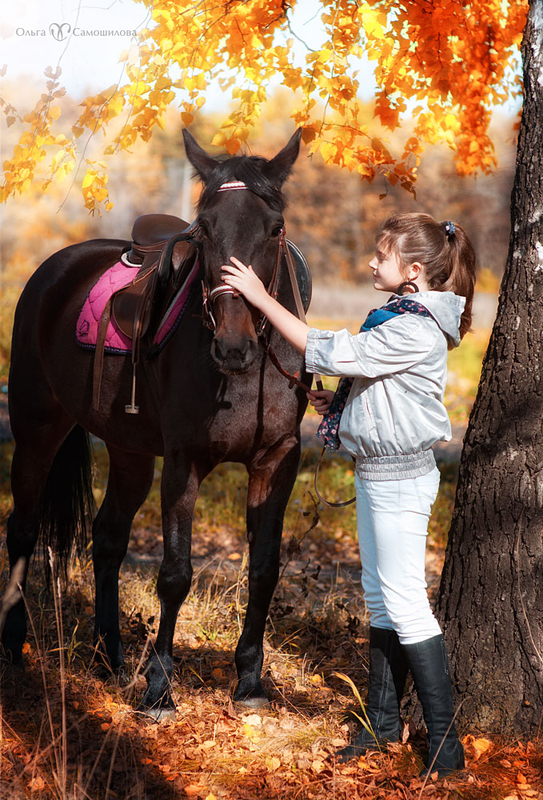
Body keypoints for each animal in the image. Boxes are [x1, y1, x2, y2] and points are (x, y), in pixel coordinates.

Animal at [2, 128, 313, 715]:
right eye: (204, 228)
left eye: (276, 228)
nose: (233, 345)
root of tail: (54, 270)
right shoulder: (183, 461)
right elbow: (175, 573)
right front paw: (161, 687)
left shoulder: (277, 460)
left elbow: (264, 568)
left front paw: (250, 682)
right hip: (37, 429)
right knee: (23, 530)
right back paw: (13, 648)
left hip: (130, 450)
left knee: (107, 537)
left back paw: (108, 657)